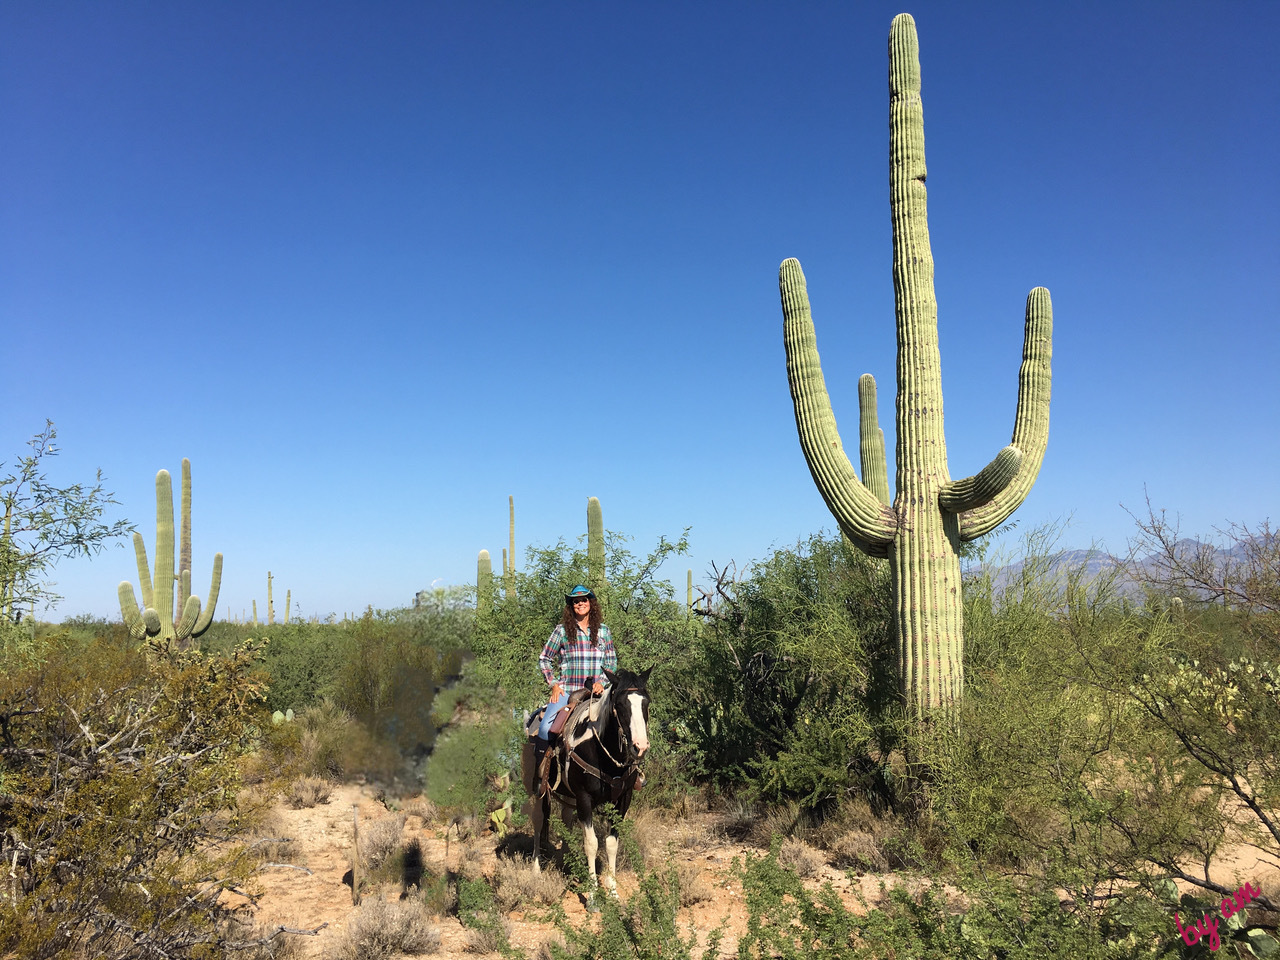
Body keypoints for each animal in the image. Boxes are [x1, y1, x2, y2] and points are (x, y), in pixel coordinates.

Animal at [524, 670, 655, 896]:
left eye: (646, 702)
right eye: (620, 705)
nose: (640, 747)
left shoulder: (623, 799)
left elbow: (611, 843)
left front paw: (612, 891)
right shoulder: (584, 799)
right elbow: (591, 843)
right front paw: (593, 895)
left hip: (568, 794)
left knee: (566, 818)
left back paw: (566, 861)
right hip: (539, 789)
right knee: (539, 821)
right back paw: (536, 868)